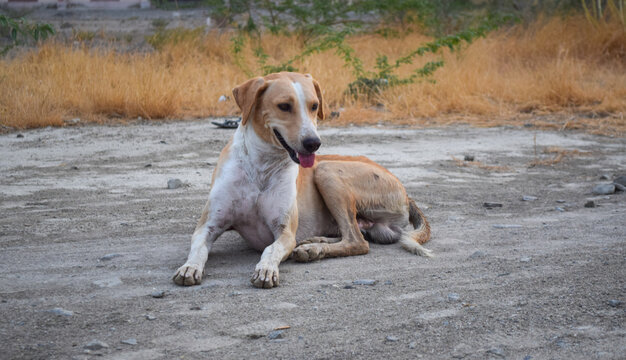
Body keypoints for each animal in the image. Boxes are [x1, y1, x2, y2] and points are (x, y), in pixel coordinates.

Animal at [173, 71, 432, 288]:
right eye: (284, 106)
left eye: (314, 106)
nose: (313, 143)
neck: (261, 167)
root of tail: (406, 194)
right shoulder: (208, 225)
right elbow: (198, 249)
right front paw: (189, 267)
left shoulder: (285, 232)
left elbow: (270, 250)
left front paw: (266, 269)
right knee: (352, 234)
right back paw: (315, 242)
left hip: (326, 171)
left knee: (358, 241)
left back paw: (313, 249)